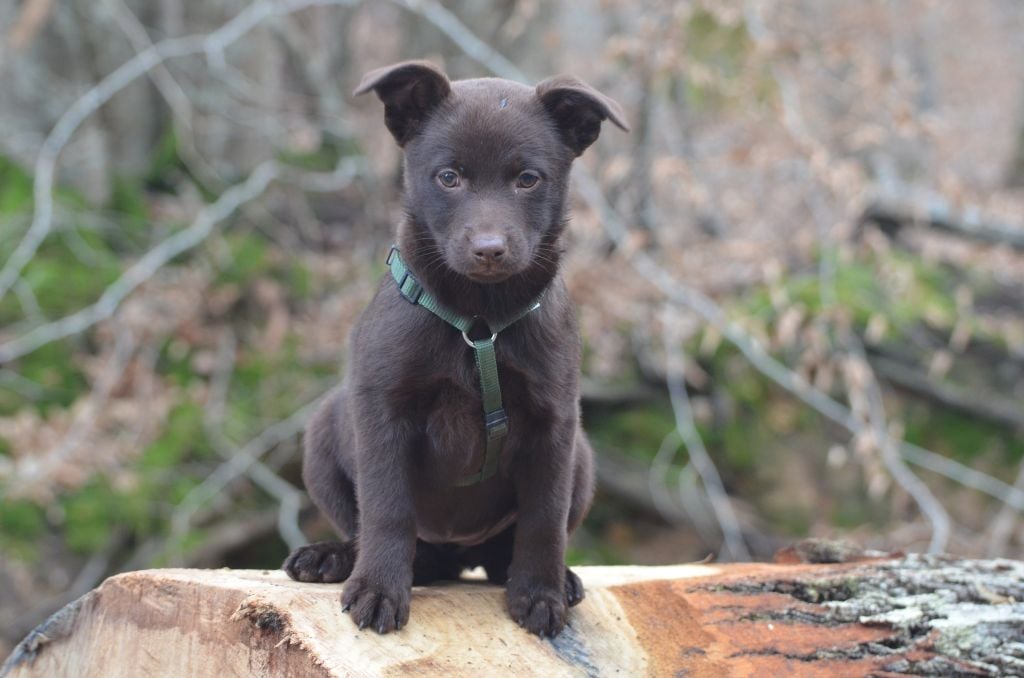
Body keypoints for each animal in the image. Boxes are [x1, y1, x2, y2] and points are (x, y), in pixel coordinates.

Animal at [284, 61, 626, 639]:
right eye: (449, 177)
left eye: (528, 179)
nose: (489, 250)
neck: (479, 322)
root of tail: (456, 555)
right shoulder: (384, 410)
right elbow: (386, 508)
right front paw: (378, 590)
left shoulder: (555, 422)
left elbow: (544, 519)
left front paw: (540, 594)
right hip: (324, 431)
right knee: (371, 528)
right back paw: (334, 558)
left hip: (583, 457)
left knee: (510, 546)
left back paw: (555, 578)